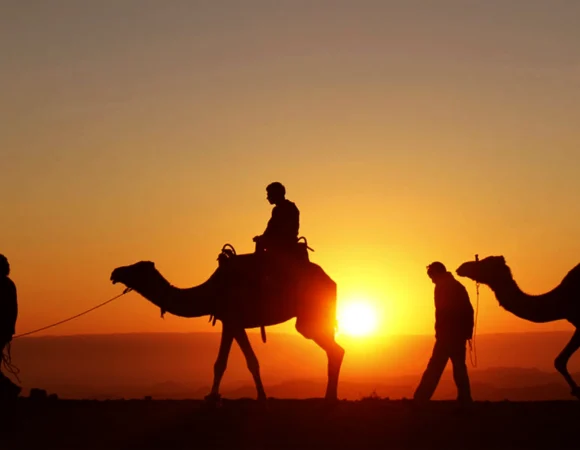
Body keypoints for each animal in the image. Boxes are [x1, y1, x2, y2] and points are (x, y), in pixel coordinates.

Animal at [109, 244, 344, 402]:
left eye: (137, 268)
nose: (115, 272)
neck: (210, 292)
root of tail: (332, 281)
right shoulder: (232, 323)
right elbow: (237, 362)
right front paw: (254, 395)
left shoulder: (232, 320)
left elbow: (230, 362)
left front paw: (217, 397)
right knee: (334, 349)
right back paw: (330, 396)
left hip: (309, 316)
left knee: (333, 348)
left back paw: (330, 398)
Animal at [458, 255, 580, 400]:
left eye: (484, 263)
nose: (461, 267)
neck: (561, 300)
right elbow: (560, 361)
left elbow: (559, 361)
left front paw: (577, 390)